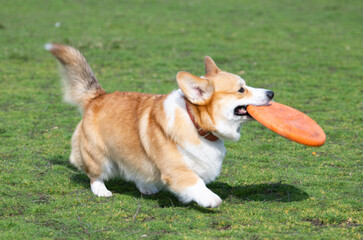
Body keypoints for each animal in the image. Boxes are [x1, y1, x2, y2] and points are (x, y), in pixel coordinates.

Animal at [45, 43, 272, 208]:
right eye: (241, 90)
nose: (271, 93)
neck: (195, 122)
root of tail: (97, 96)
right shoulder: (177, 170)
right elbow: (195, 183)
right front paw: (211, 199)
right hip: (97, 153)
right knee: (94, 174)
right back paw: (101, 190)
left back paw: (146, 187)